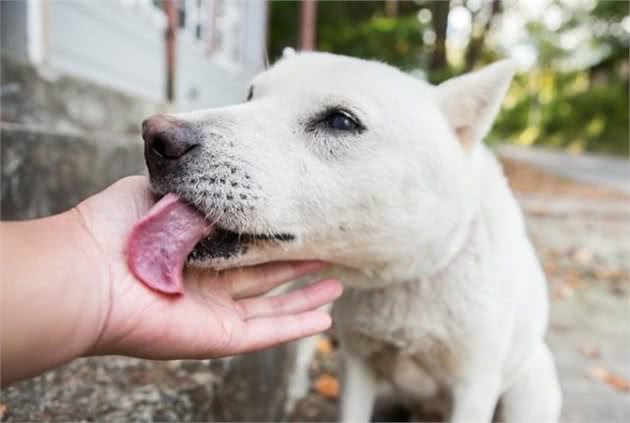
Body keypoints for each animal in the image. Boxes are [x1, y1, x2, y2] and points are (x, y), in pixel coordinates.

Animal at [139, 50, 564, 423]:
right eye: (250, 95)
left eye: (341, 122)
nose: (154, 138)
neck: (405, 280)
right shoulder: (358, 368)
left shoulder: (473, 388)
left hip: (529, 389)